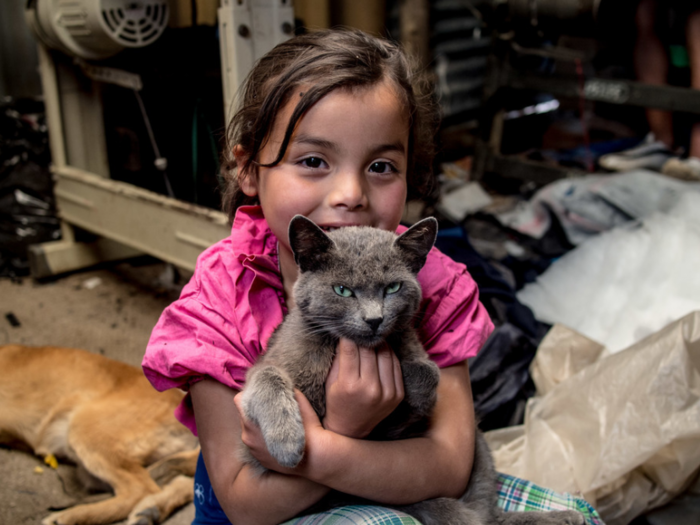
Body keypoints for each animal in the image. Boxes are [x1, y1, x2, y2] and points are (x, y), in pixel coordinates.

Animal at [238, 214, 584, 524]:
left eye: (392, 287)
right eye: (342, 290)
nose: (374, 319)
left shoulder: (411, 347)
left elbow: (430, 372)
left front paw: (413, 398)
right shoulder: (267, 377)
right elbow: (267, 376)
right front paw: (286, 443)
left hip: (479, 445)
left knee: (488, 517)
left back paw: (564, 517)